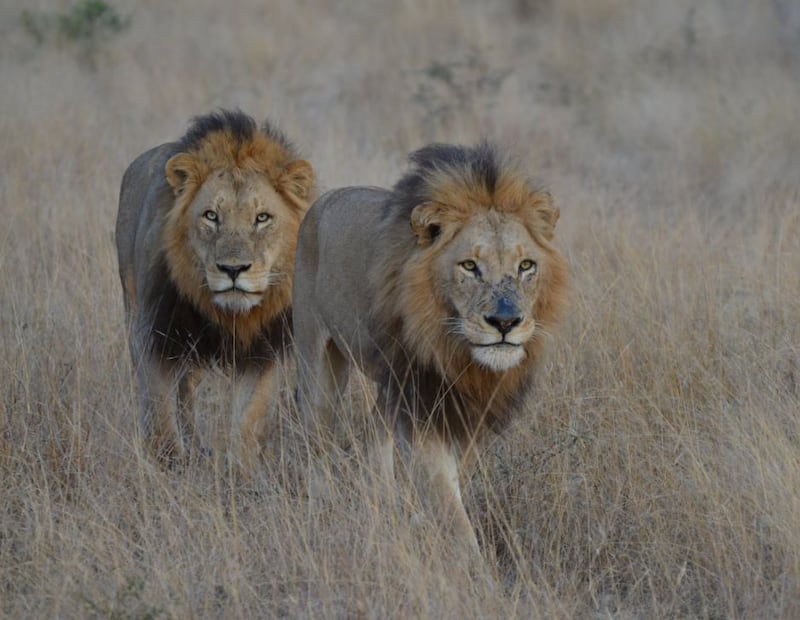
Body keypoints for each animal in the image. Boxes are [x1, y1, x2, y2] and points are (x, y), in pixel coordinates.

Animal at [115, 110, 316, 470]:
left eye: (262, 218)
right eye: (211, 216)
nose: (233, 270)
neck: (228, 315)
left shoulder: (263, 350)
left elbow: (249, 420)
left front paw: (241, 472)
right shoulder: (155, 336)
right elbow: (160, 414)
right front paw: (169, 466)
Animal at [294, 142, 568, 552]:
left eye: (526, 266)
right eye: (469, 266)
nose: (505, 322)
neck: (458, 354)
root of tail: (323, 199)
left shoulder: (465, 411)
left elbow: (451, 483)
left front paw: (418, 520)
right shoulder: (421, 406)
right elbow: (450, 510)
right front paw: (471, 565)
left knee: (375, 431)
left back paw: (382, 503)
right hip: (319, 365)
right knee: (316, 437)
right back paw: (322, 507)